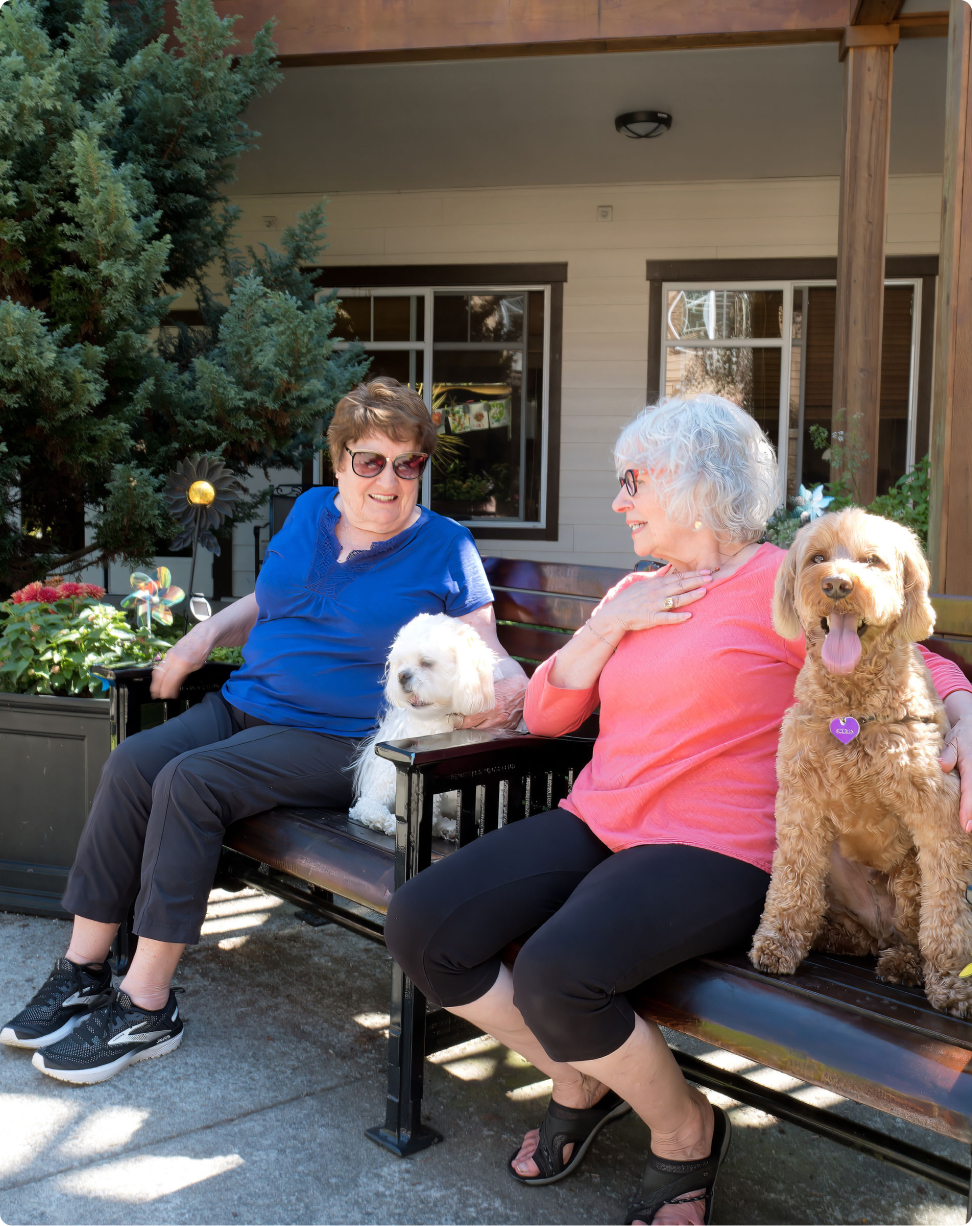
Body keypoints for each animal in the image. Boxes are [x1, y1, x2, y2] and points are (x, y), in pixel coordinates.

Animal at [348, 617, 497, 838]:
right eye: (401, 662)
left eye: (426, 662)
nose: (401, 675)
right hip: (388, 783)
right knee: (366, 806)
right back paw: (388, 822)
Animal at [745, 507, 965, 1015]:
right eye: (817, 558)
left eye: (873, 561)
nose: (837, 585)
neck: (852, 711)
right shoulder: (800, 805)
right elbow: (790, 883)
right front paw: (778, 942)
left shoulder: (939, 815)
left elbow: (948, 912)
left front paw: (951, 981)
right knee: (855, 932)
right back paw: (831, 936)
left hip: (907, 879)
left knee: (908, 933)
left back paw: (905, 964)